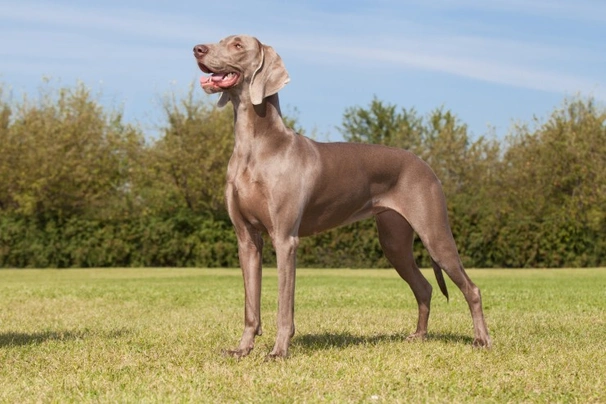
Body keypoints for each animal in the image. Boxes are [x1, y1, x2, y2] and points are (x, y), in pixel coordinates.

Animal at [192, 34, 492, 356]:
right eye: (221, 40)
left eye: (237, 45)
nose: (197, 48)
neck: (255, 146)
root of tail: (426, 165)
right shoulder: (247, 239)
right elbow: (251, 306)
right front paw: (242, 349)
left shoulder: (285, 239)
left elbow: (284, 305)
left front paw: (279, 350)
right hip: (394, 240)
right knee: (424, 287)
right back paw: (419, 335)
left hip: (435, 234)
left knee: (472, 288)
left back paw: (481, 339)